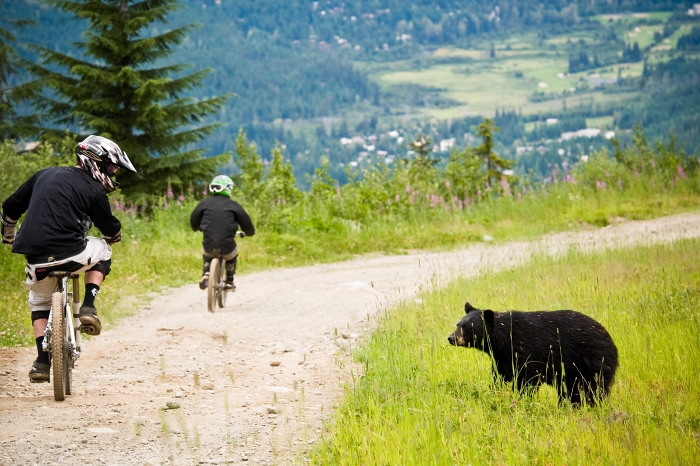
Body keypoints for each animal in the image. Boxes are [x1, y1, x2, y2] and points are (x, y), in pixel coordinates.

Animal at [448, 302, 616, 404]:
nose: (451, 338)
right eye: (458, 324)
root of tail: (612, 342)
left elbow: (528, 379)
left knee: (593, 388)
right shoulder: (502, 358)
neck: (504, 340)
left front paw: (522, 399)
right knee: (572, 390)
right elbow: (500, 377)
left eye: (467, 327)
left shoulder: (526, 351)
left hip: (592, 360)